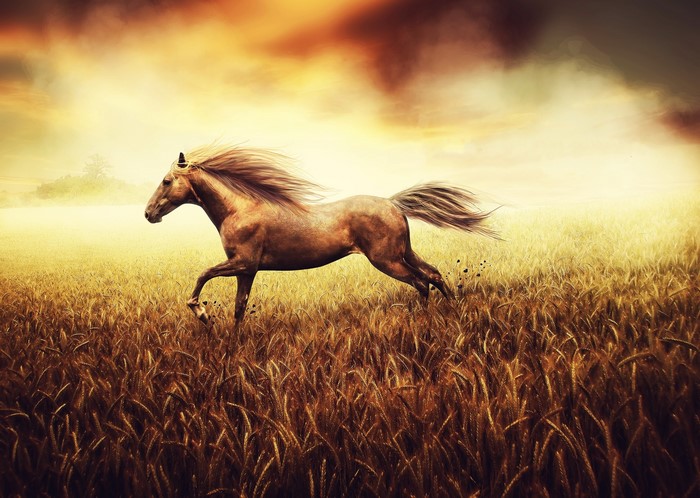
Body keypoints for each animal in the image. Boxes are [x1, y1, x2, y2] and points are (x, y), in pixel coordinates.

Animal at [145, 145, 497, 327]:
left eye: (166, 181)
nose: (148, 214)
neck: (239, 209)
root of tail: (393, 203)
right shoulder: (247, 270)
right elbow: (239, 308)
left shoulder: (242, 263)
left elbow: (203, 275)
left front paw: (202, 314)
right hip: (402, 252)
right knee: (433, 274)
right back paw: (452, 311)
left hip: (387, 260)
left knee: (421, 282)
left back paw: (425, 321)